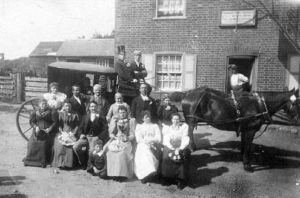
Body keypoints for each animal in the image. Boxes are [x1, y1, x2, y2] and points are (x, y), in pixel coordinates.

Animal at [170, 86, 298, 172]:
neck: (258, 104)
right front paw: (247, 165)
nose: (297, 121)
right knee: (189, 132)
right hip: (191, 121)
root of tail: (187, 93)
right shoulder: (250, 130)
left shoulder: (245, 129)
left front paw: (242, 159)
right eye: (297, 102)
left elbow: (244, 145)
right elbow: (248, 147)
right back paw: (191, 147)